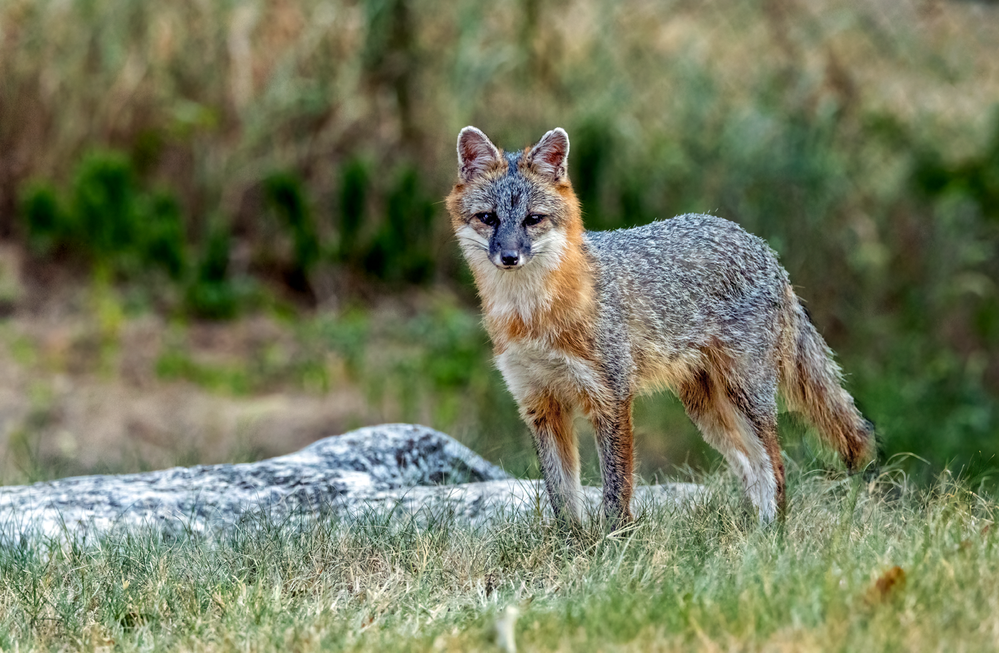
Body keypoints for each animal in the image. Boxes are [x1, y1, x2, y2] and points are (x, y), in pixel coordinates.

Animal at [446, 126, 876, 524]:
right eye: (488, 219)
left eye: (533, 220)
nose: (509, 256)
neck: (532, 317)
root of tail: (761, 247)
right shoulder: (539, 404)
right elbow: (562, 498)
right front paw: (572, 544)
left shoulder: (611, 398)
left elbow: (616, 489)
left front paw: (613, 542)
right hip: (708, 412)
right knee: (753, 466)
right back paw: (754, 536)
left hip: (747, 397)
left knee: (776, 464)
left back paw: (773, 536)